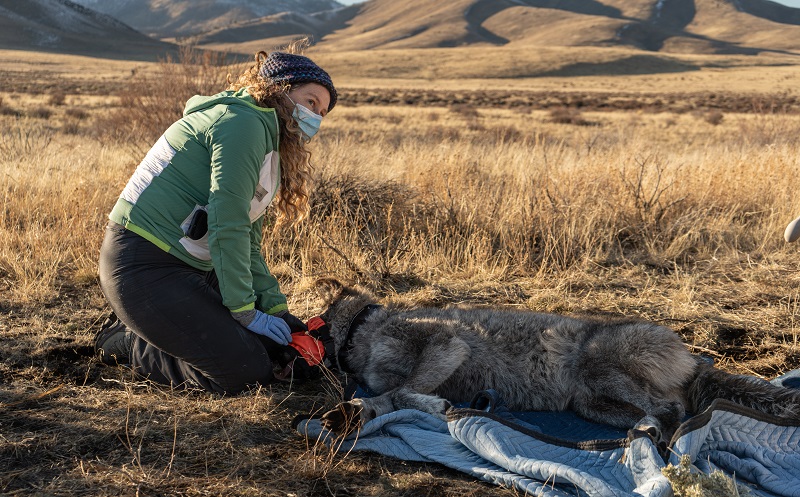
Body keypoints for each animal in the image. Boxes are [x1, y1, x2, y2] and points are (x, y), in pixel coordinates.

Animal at [316, 278, 800, 444]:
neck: (365, 327)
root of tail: (696, 363)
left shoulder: (446, 344)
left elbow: (403, 392)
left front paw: (429, 406)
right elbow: (390, 397)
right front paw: (355, 411)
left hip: (598, 370)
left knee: (670, 411)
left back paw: (656, 445)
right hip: (590, 404)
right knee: (666, 413)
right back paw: (646, 438)